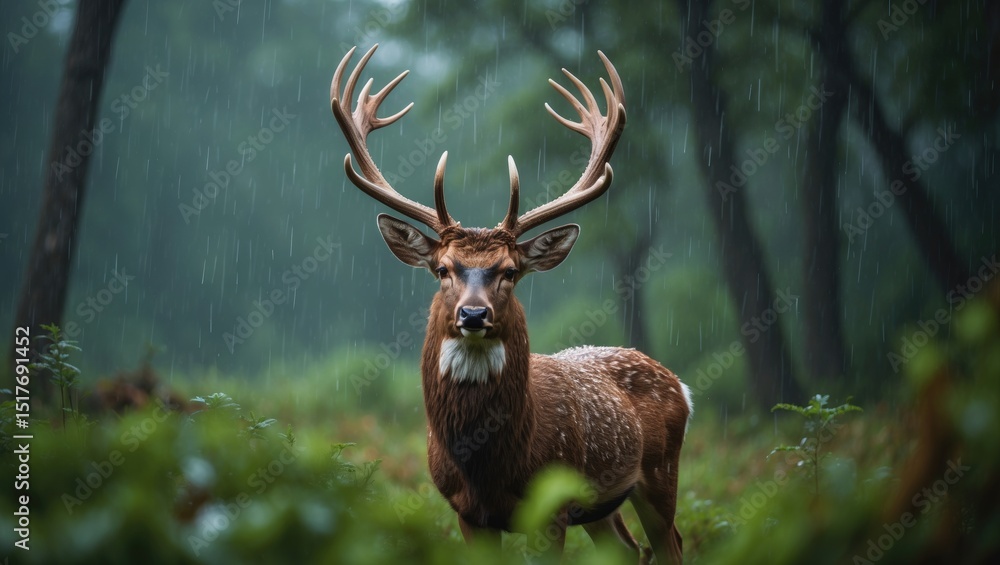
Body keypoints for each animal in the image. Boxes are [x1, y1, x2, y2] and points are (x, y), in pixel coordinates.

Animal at [330, 44, 691, 564]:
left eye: (510, 272)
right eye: (443, 269)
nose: (473, 314)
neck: (490, 467)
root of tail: (680, 384)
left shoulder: (552, 507)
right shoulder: (466, 512)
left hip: (661, 471)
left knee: (671, 543)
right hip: (601, 506)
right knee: (627, 549)